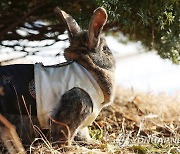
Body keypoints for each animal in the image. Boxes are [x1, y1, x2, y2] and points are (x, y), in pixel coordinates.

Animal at [0, 6, 116, 145]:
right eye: (105, 49)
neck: (88, 68)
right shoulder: (79, 102)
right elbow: (64, 133)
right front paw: (69, 147)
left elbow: (83, 133)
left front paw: (93, 143)